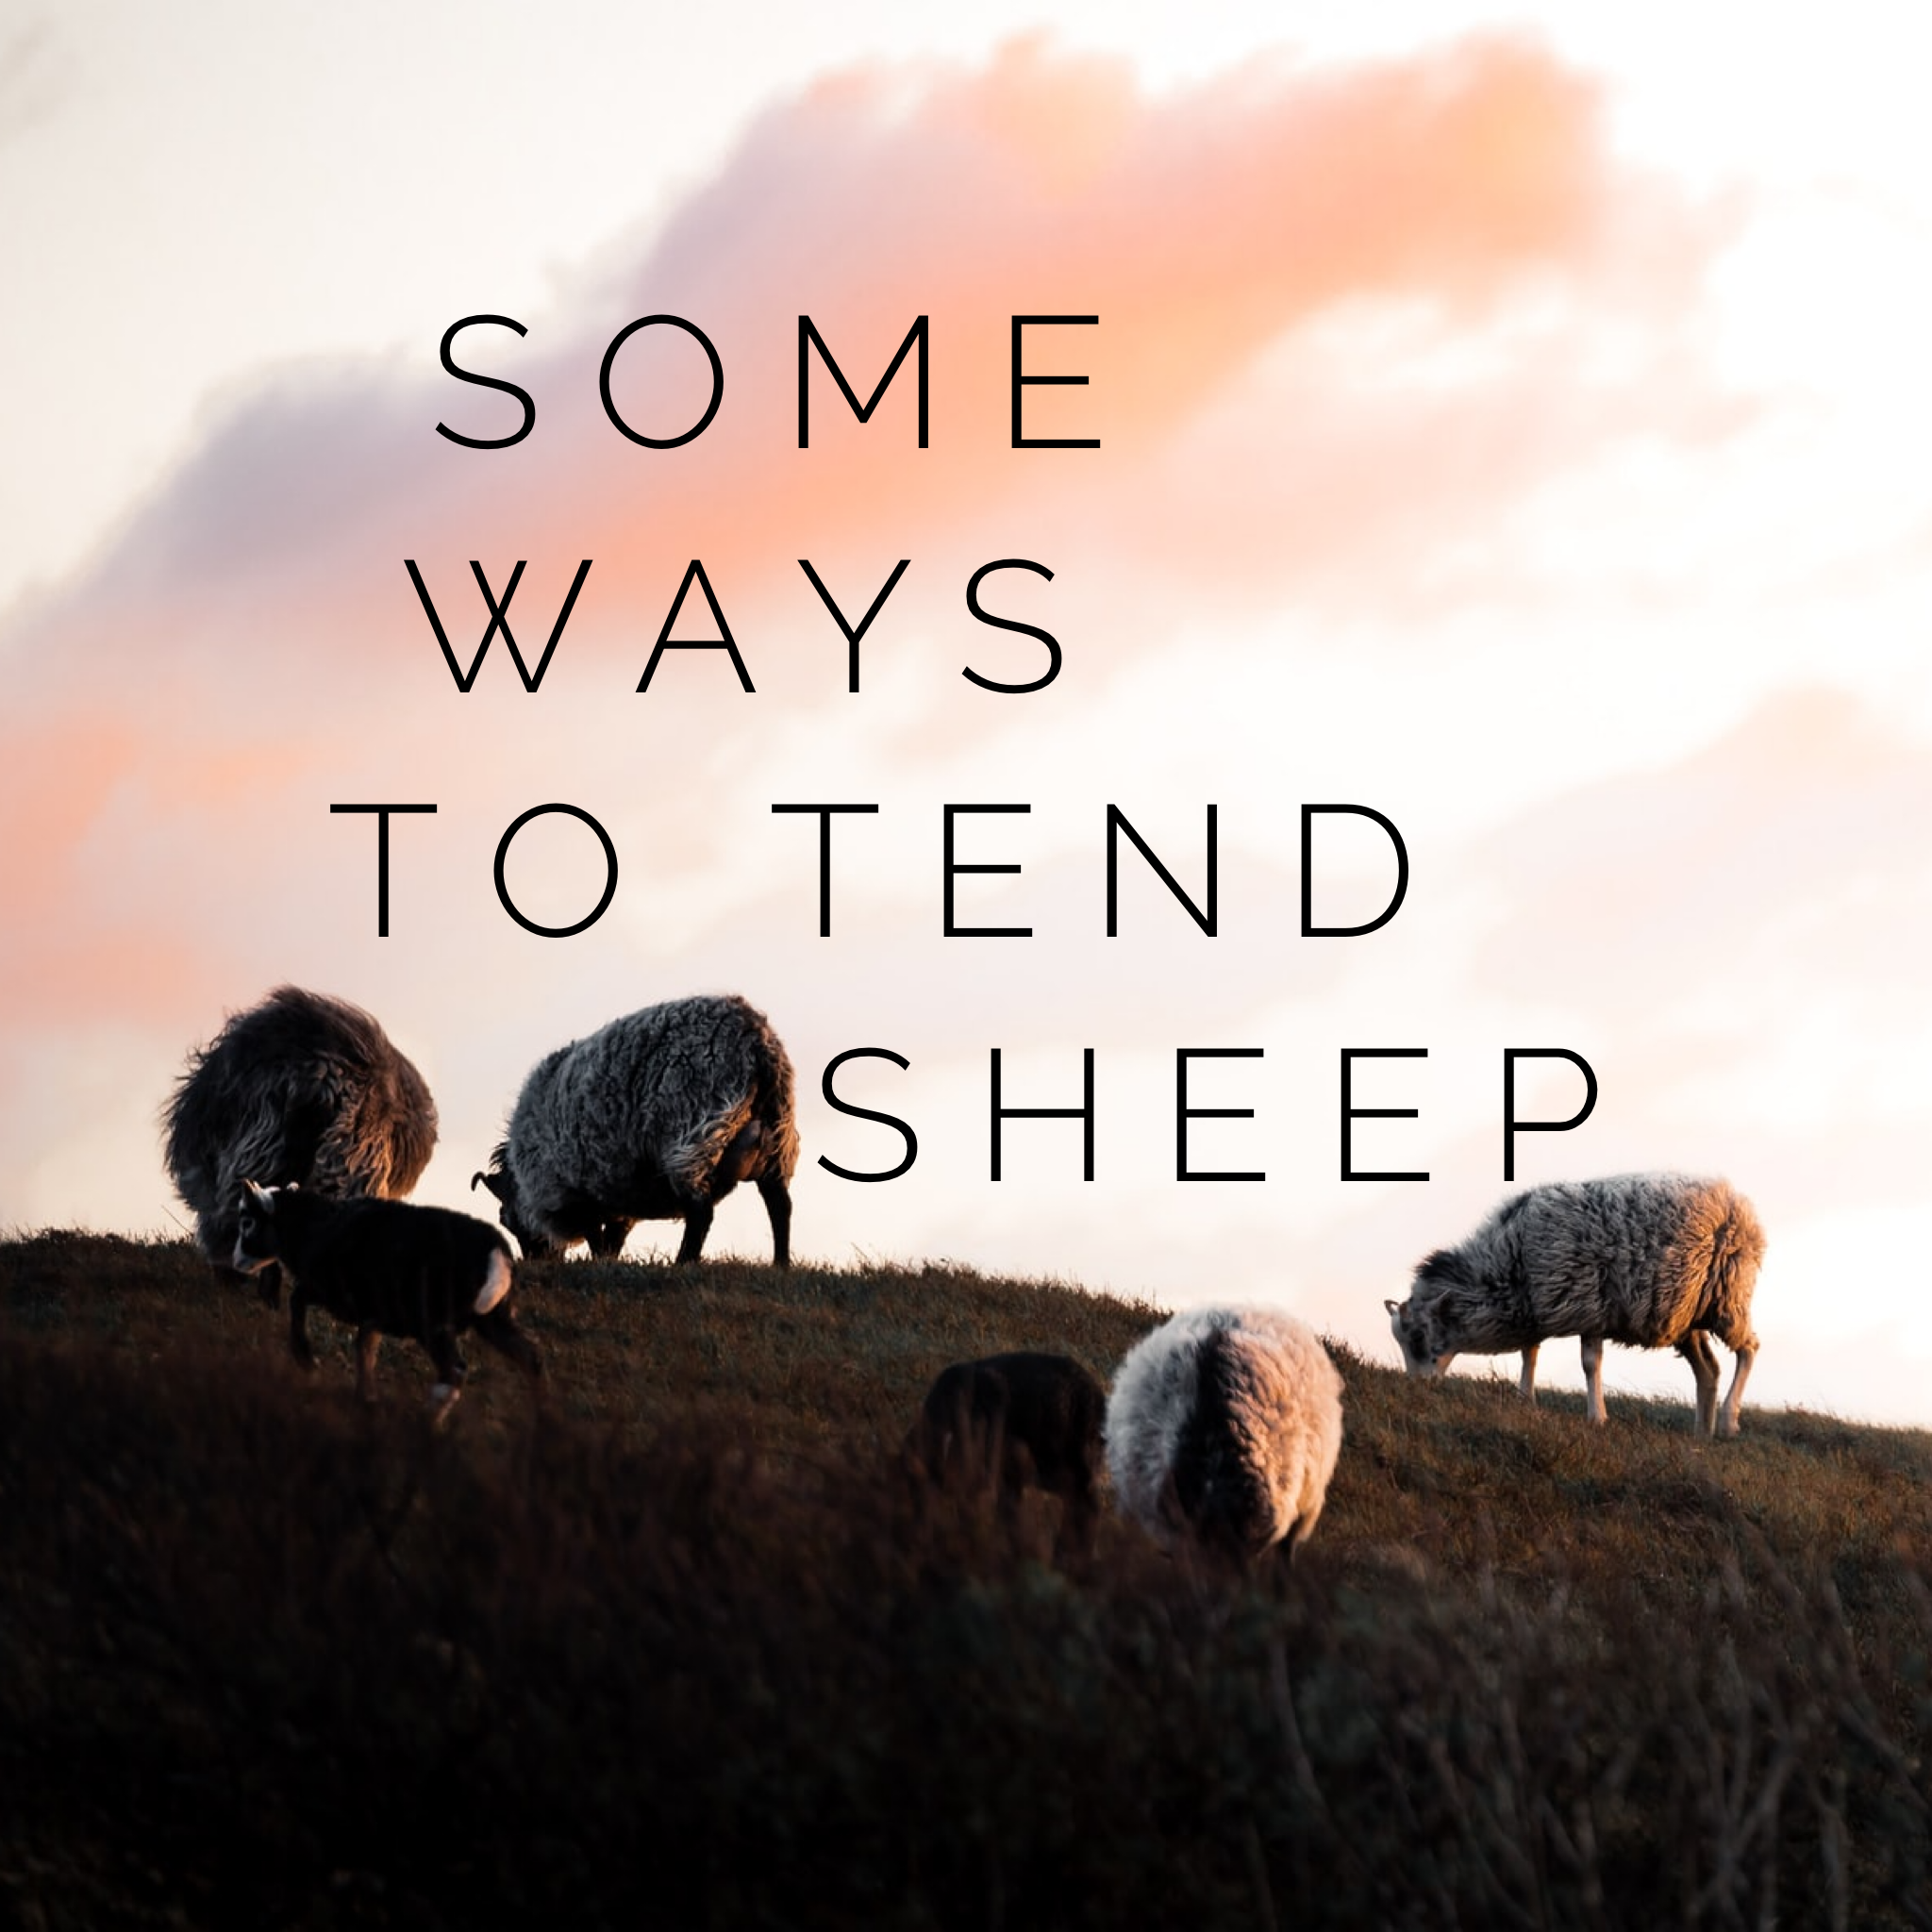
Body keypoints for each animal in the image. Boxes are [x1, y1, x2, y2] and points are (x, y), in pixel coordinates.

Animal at [230, 1180, 542, 1421]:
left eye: (247, 1222)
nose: (236, 1262)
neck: (313, 1227)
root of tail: (496, 1252)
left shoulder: (327, 1289)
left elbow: (296, 1301)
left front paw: (306, 1359)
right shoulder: (373, 1315)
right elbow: (364, 1349)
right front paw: (366, 1399)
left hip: (433, 1320)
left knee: (453, 1371)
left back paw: (425, 1423)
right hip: (494, 1319)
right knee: (530, 1356)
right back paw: (541, 1417)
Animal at [472, 993, 798, 1267]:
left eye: (506, 1221)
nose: (537, 1261)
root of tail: (755, 1039)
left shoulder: (580, 1187)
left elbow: (597, 1235)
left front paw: (601, 1263)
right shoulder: (623, 1190)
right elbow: (615, 1236)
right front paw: (609, 1261)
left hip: (693, 1134)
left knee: (701, 1210)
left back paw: (684, 1262)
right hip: (777, 1141)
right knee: (779, 1204)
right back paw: (780, 1264)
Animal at [1385, 1172, 1765, 1436]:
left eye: (1418, 1337)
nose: (1416, 1388)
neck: (1511, 1264)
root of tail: (1736, 1199)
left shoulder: (1590, 1307)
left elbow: (1589, 1365)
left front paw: (1597, 1417)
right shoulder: (1538, 1307)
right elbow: (1530, 1355)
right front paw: (1526, 1399)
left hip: (1729, 1295)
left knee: (1748, 1349)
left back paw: (1728, 1421)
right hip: (1686, 1316)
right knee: (1709, 1370)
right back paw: (1702, 1434)